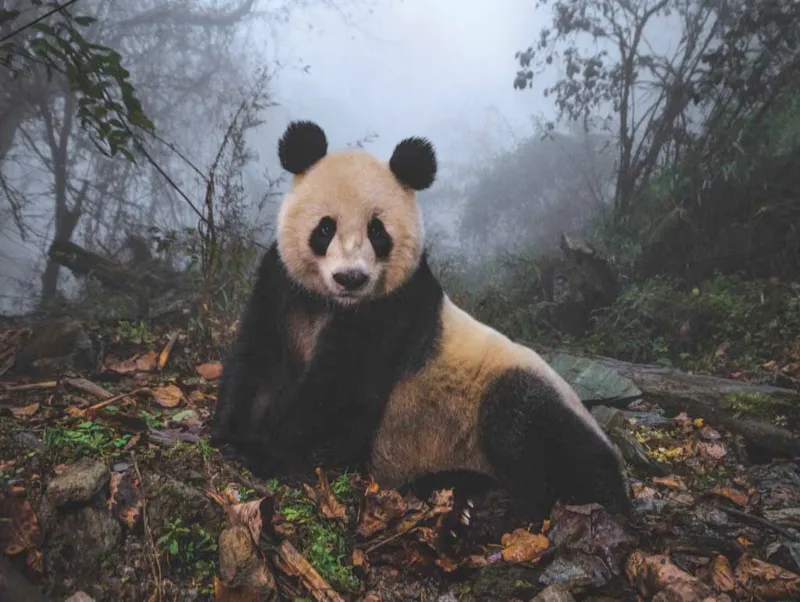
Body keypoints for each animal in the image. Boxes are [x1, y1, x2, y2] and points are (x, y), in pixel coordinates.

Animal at [210, 120, 630, 528]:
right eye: (325, 228)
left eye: (377, 231)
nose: (350, 278)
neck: (334, 305)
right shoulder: (282, 288)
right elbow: (259, 360)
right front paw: (232, 434)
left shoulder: (393, 311)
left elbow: (340, 393)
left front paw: (271, 452)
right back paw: (467, 500)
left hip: (527, 396)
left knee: (524, 430)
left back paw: (502, 513)